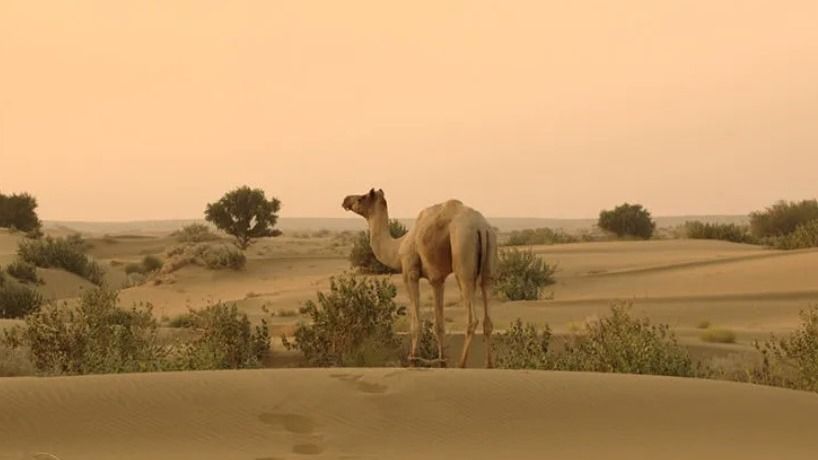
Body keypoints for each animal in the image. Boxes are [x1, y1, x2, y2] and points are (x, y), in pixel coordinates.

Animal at [340, 189, 494, 368]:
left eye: (361, 198)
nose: (345, 200)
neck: (397, 248)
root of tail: (480, 227)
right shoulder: (437, 279)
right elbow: (439, 325)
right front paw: (442, 362)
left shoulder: (410, 272)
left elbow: (415, 325)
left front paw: (413, 360)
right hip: (489, 259)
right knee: (487, 301)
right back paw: (489, 365)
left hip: (462, 252)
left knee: (472, 317)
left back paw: (461, 365)